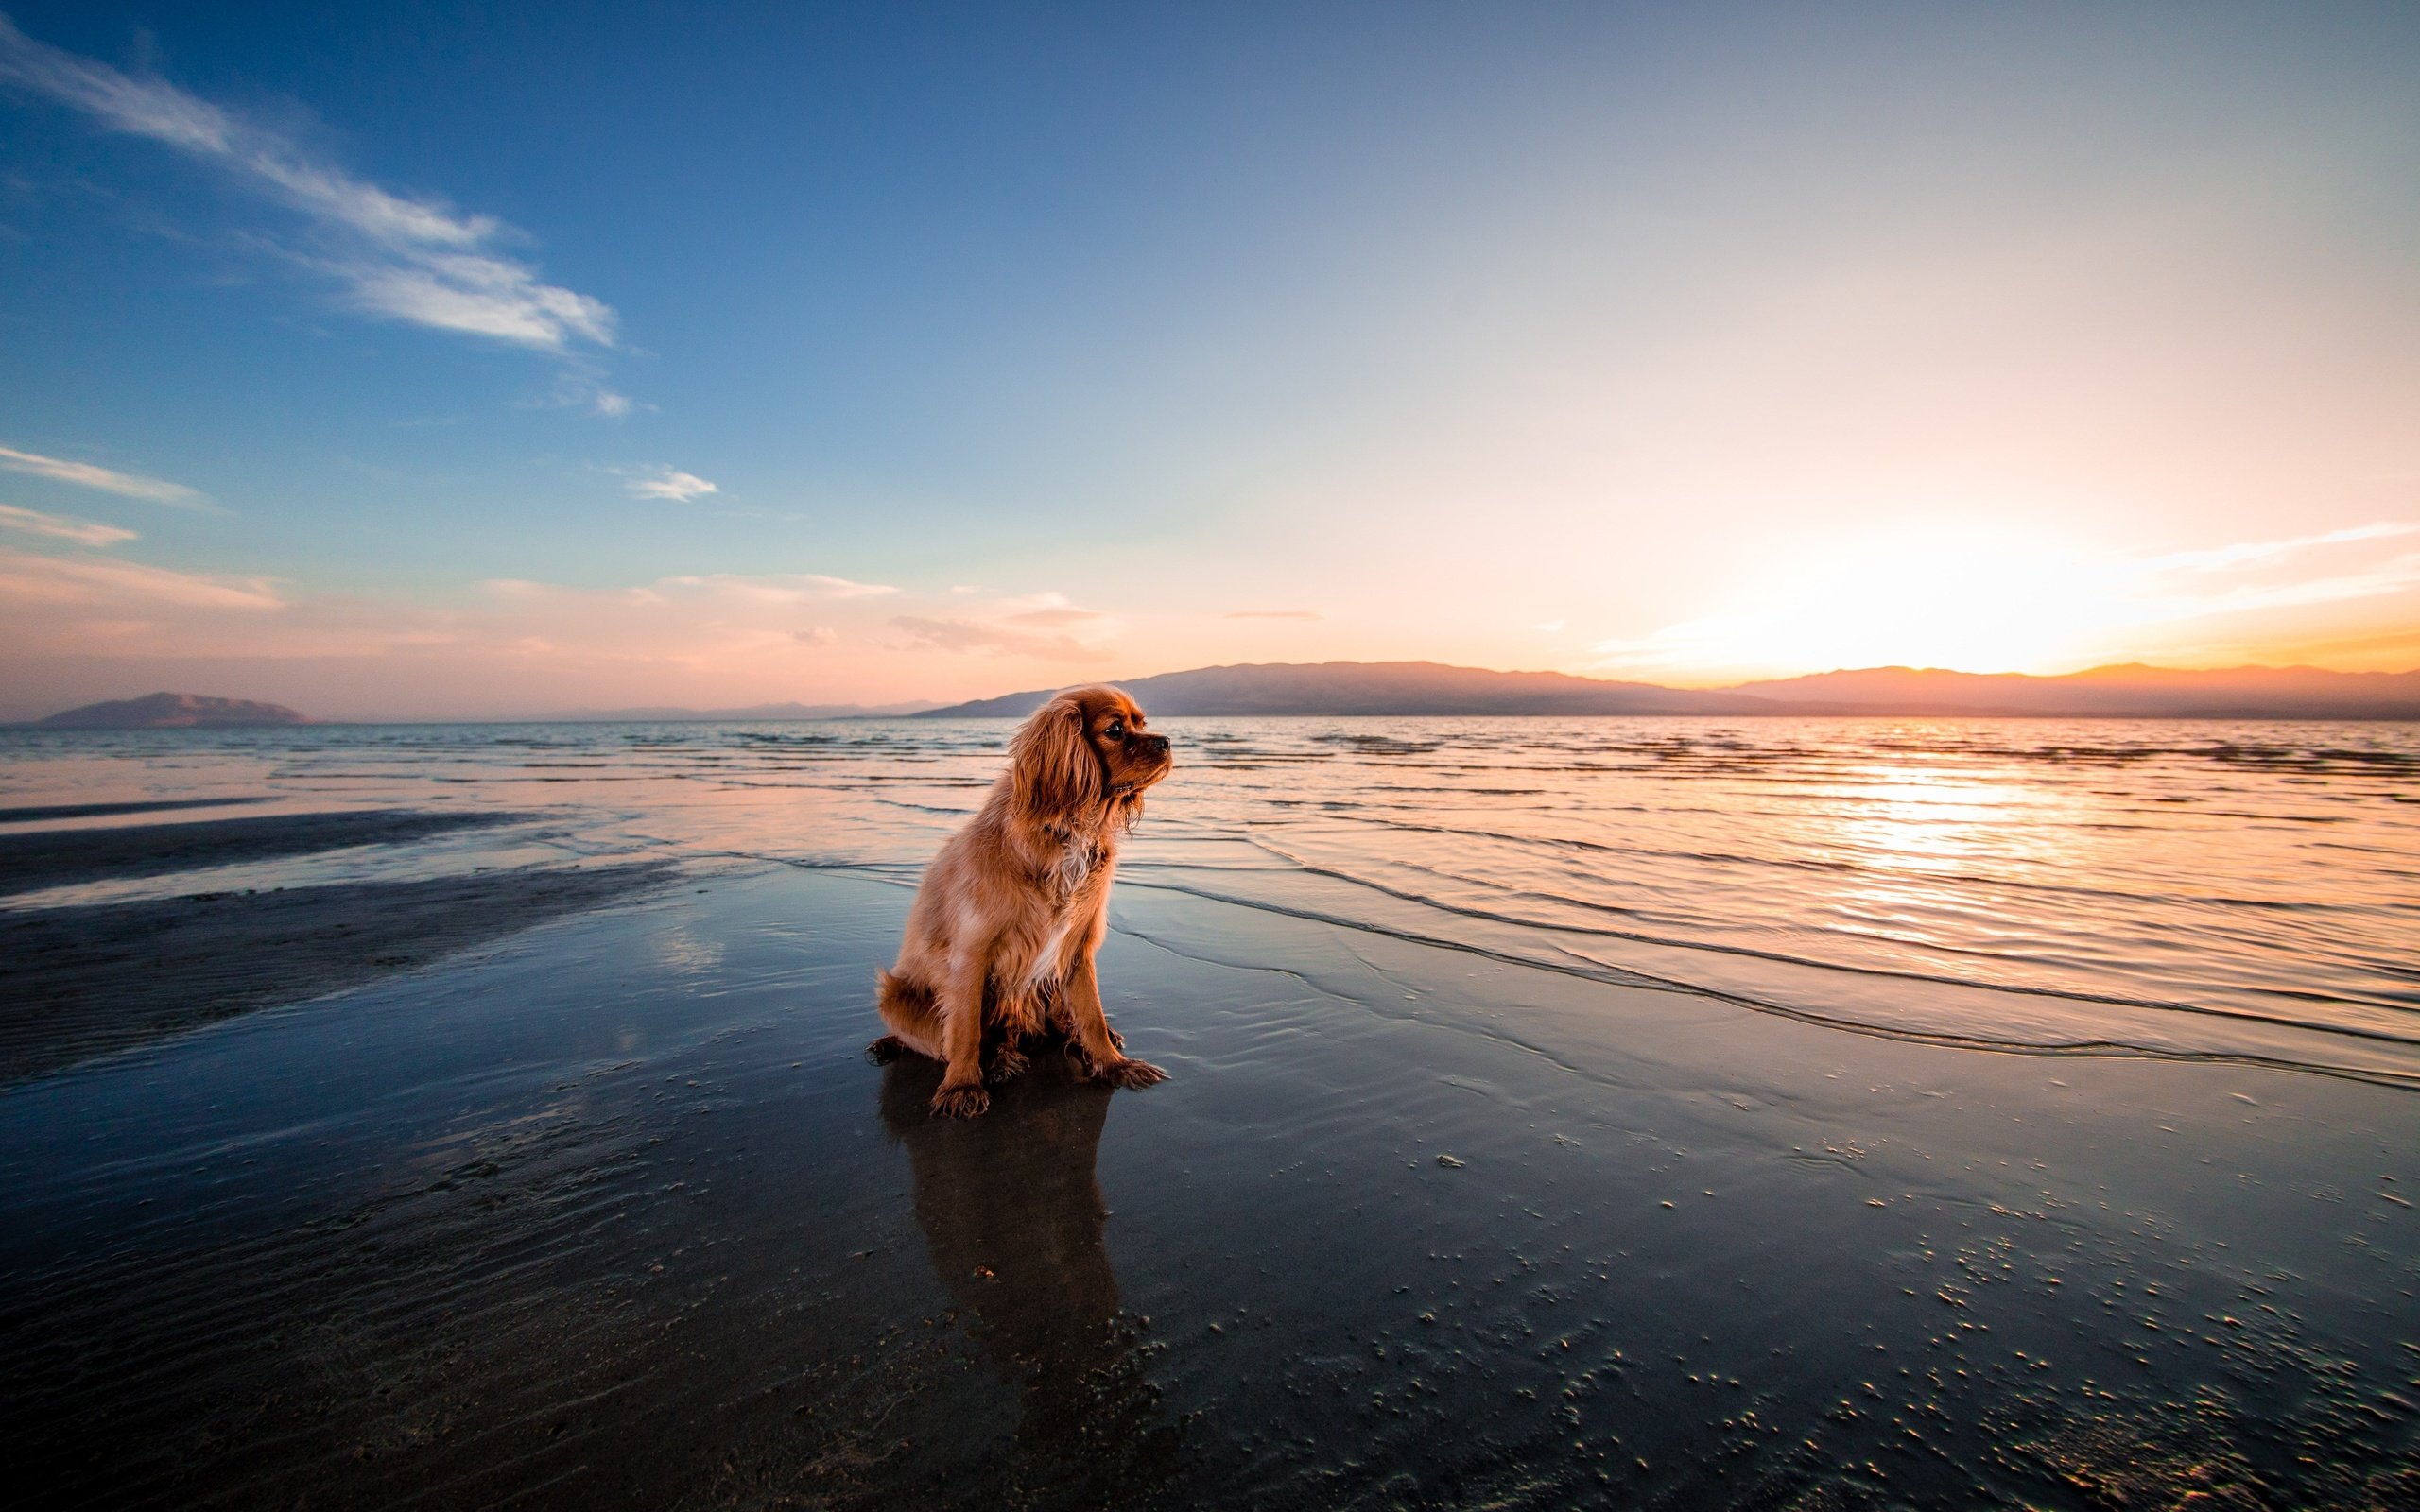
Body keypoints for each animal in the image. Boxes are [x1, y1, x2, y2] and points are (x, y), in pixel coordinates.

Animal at [875, 681, 1176, 1108]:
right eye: (1115, 730)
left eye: (1142, 724)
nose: (1166, 742)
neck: (1068, 831)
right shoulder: (971, 952)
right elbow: (965, 1028)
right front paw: (962, 1085)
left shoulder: (1076, 947)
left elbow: (1092, 1015)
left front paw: (1114, 1064)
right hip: (896, 997)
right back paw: (997, 1060)